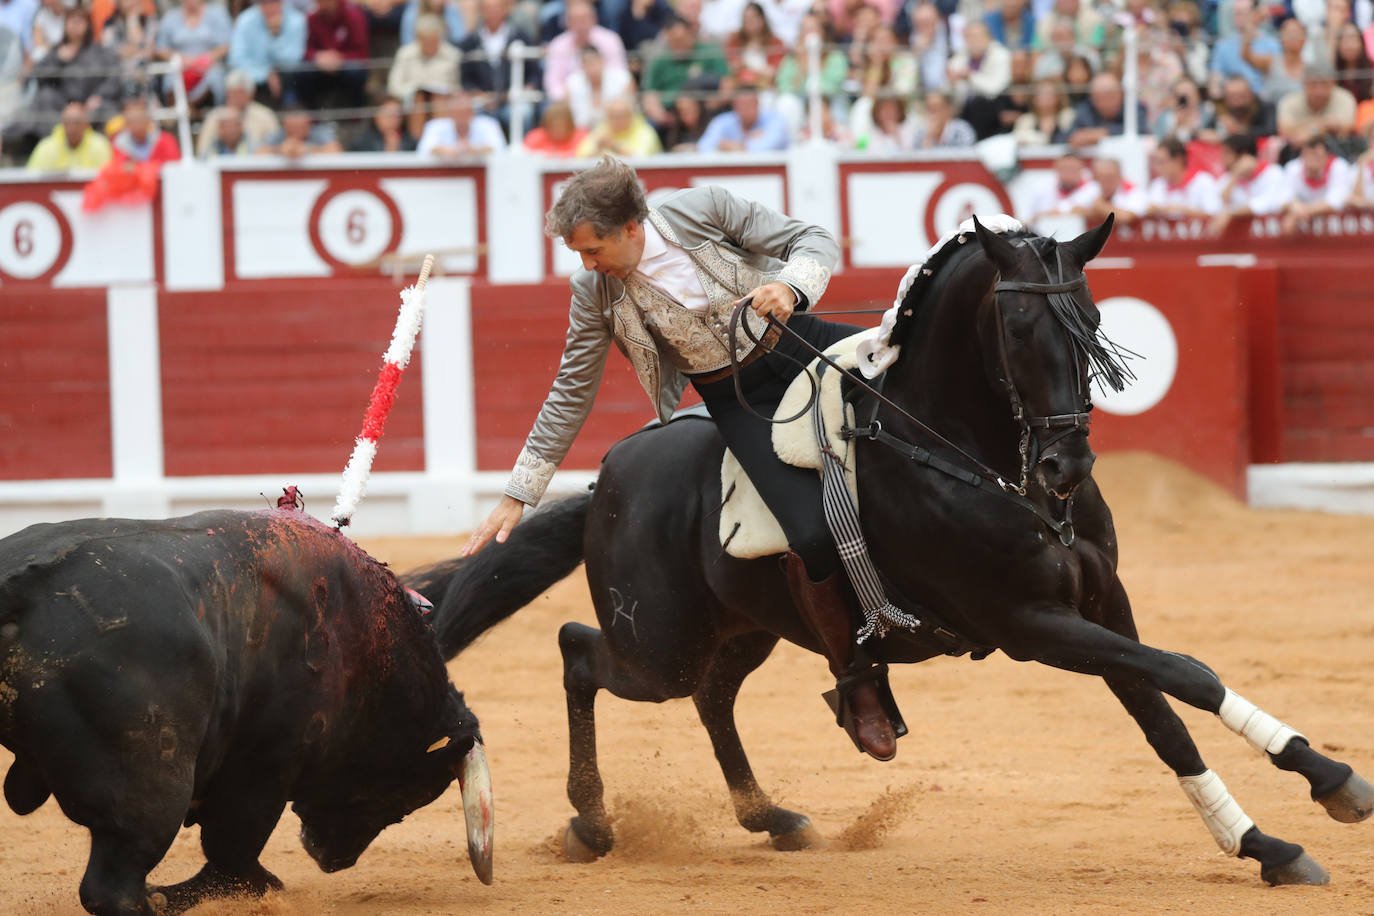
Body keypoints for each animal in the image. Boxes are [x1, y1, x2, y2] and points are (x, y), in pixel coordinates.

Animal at [0, 505, 585, 911]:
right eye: (404, 798)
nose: (332, 860)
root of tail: (21, 586)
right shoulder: (265, 764)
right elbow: (233, 849)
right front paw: (250, 888)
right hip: (150, 790)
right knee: (112, 888)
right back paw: (154, 900)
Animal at [412, 216, 1368, 889]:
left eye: (1094, 320)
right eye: (1018, 332)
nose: (1066, 467)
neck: (974, 455)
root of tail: (608, 473)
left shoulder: (1103, 606)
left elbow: (1163, 712)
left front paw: (1266, 841)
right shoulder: (1032, 624)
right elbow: (1186, 675)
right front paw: (1330, 780)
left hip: (744, 629)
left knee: (714, 696)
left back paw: (772, 815)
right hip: (657, 642)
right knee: (581, 651)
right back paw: (593, 823)